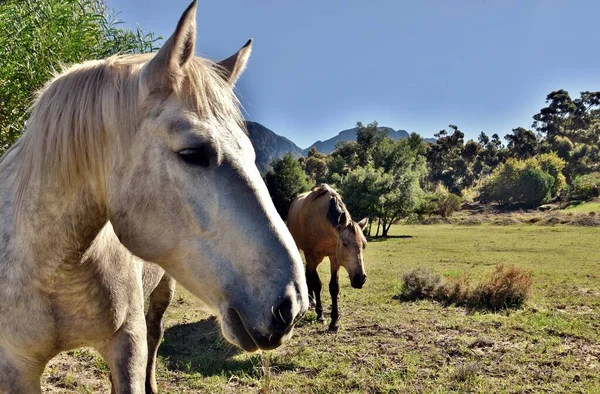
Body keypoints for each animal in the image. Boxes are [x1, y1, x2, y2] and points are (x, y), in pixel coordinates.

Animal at [288, 186, 368, 330]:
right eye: (344, 243)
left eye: (364, 245)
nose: (360, 279)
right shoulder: (311, 256)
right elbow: (316, 284)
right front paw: (320, 315)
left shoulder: (334, 258)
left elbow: (334, 287)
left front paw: (334, 320)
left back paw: (312, 299)